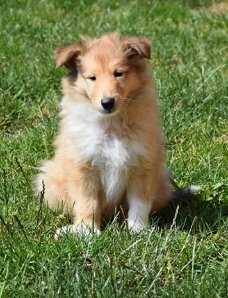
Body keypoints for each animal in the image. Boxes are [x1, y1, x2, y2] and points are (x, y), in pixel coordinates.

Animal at [34, 32, 172, 237]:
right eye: (92, 78)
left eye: (118, 73)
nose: (107, 103)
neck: (111, 124)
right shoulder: (83, 166)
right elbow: (87, 202)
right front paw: (87, 232)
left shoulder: (143, 164)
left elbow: (139, 202)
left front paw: (138, 231)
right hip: (50, 179)